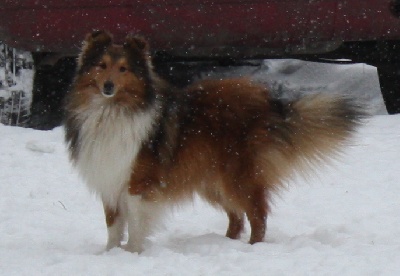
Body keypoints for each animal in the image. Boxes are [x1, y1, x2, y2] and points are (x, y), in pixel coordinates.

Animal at [64, 30, 368, 252]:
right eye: (102, 65)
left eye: (124, 69)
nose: (108, 86)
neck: (112, 110)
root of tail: (269, 101)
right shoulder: (109, 177)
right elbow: (113, 224)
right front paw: (109, 254)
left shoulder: (138, 180)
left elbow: (137, 222)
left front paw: (132, 253)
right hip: (213, 179)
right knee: (237, 216)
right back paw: (225, 243)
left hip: (239, 175)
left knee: (258, 213)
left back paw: (253, 248)